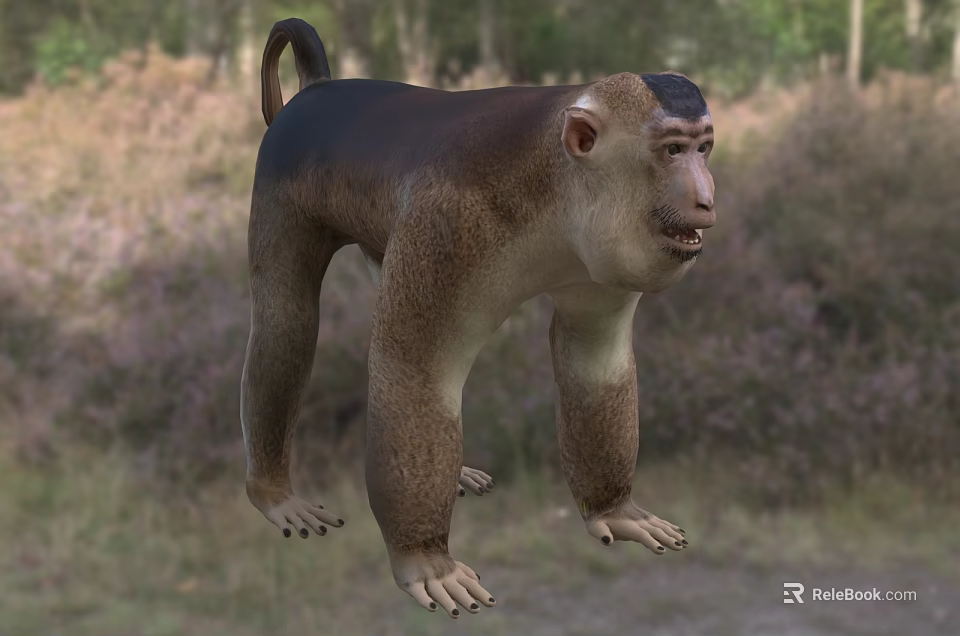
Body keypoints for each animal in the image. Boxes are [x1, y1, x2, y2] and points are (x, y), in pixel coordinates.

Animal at [240, 17, 714, 618]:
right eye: (673, 150)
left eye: (704, 148)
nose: (707, 198)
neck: (554, 183)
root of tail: (318, 89)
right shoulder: (451, 227)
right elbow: (415, 370)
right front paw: (424, 560)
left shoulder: (600, 262)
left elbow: (592, 360)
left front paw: (613, 509)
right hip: (283, 184)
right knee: (289, 318)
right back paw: (273, 494)